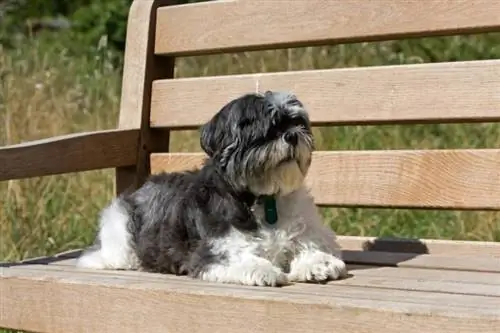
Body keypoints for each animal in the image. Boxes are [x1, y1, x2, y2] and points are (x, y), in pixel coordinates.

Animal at [76, 91, 346, 286]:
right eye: (266, 132)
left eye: (297, 123)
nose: (292, 136)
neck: (265, 197)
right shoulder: (212, 251)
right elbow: (236, 258)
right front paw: (262, 269)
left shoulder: (312, 232)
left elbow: (312, 244)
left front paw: (318, 263)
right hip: (121, 232)